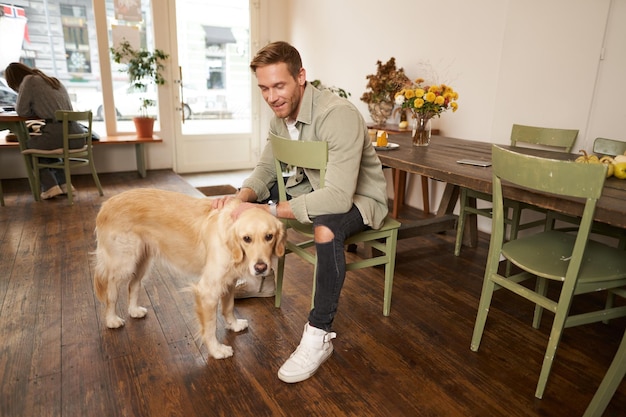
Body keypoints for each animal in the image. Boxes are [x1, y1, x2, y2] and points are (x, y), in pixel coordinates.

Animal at [93, 188, 286, 358]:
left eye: (269, 236)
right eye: (247, 239)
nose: (260, 267)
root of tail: (106, 204)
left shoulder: (229, 281)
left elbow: (229, 307)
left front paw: (234, 324)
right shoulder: (207, 291)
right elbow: (210, 326)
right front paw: (217, 350)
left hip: (142, 261)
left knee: (133, 285)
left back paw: (134, 310)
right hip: (123, 263)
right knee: (111, 293)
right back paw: (111, 319)